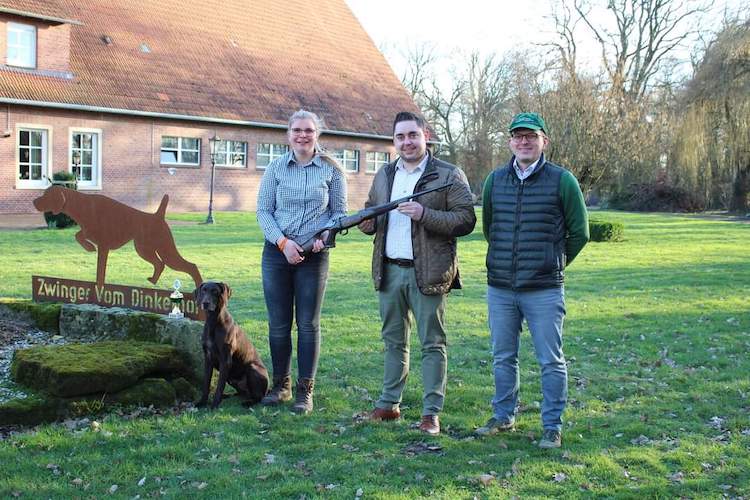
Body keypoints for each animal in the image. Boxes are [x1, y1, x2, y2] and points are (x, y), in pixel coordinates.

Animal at [33, 185, 203, 288]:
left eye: (46, 195)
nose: (34, 201)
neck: (83, 205)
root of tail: (158, 215)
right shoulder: (89, 233)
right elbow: (78, 236)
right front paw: (89, 248)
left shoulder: (104, 246)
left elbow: (100, 272)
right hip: (144, 249)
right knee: (159, 264)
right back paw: (153, 281)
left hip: (165, 250)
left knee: (191, 266)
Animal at [197, 282, 270, 410]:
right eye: (203, 290)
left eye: (215, 291)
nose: (205, 303)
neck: (213, 322)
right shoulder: (208, 359)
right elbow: (206, 383)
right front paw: (202, 402)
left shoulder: (225, 361)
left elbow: (219, 386)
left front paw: (214, 405)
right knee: (241, 393)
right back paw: (228, 396)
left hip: (253, 368)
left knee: (259, 397)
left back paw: (248, 403)